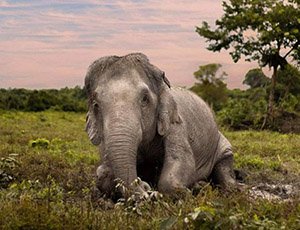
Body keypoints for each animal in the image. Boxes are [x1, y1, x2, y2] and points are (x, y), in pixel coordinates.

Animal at [85, 53, 237, 199]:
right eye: (96, 105)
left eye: (145, 99)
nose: (146, 187)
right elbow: (103, 174)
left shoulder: (176, 124)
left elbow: (183, 161)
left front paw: (182, 192)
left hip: (222, 145)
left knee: (224, 162)